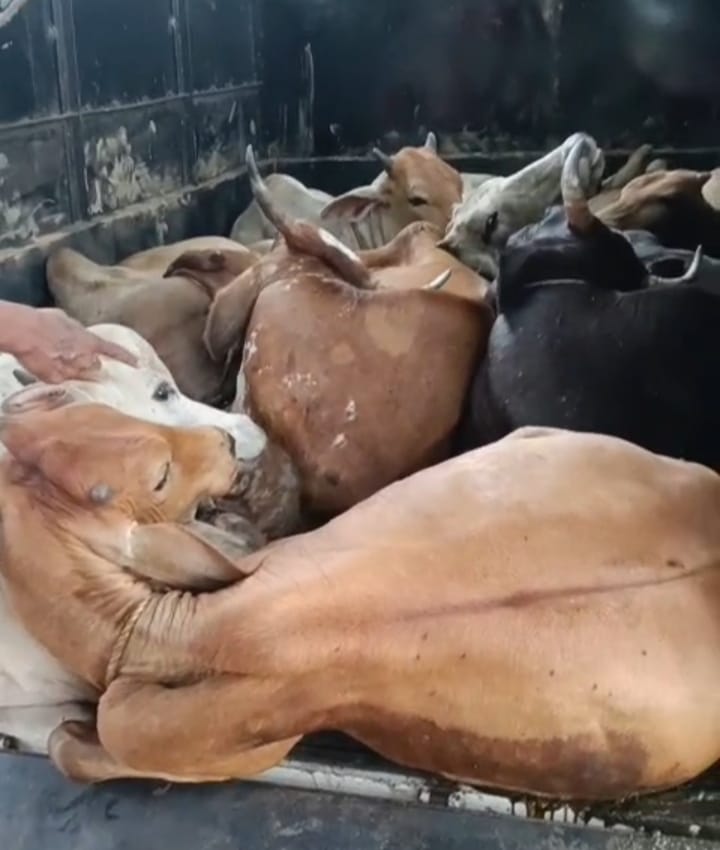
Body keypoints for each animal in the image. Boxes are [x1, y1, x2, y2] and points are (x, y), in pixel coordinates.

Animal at [2, 413, 720, 802]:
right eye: (157, 476)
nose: (226, 442)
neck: (181, 631)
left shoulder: (218, 745)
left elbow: (74, 751)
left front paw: (70, 735)